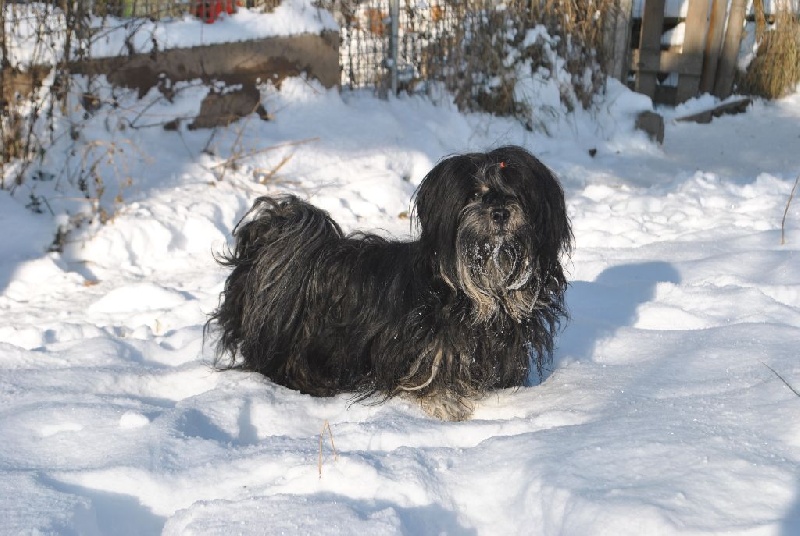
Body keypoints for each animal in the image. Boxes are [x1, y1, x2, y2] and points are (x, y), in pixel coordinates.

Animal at [206, 144, 568, 420]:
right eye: (475, 195)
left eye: (515, 193)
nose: (500, 213)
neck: (479, 293)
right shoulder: (418, 352)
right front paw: (444, 404)